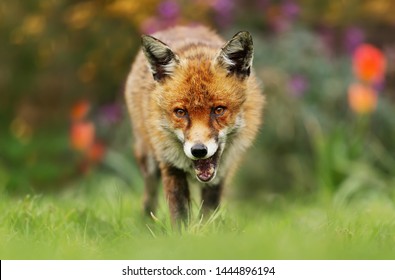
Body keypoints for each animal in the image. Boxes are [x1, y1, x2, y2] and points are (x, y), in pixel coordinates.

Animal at [125, 25, 264, 224]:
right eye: (180, 112)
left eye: (219, 110)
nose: (198, 151)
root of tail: (181, 26)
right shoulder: (170, 165)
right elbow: (179, 213)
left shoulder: (220, 174)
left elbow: (208, 214)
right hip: (148, 159)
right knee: (149, 197)